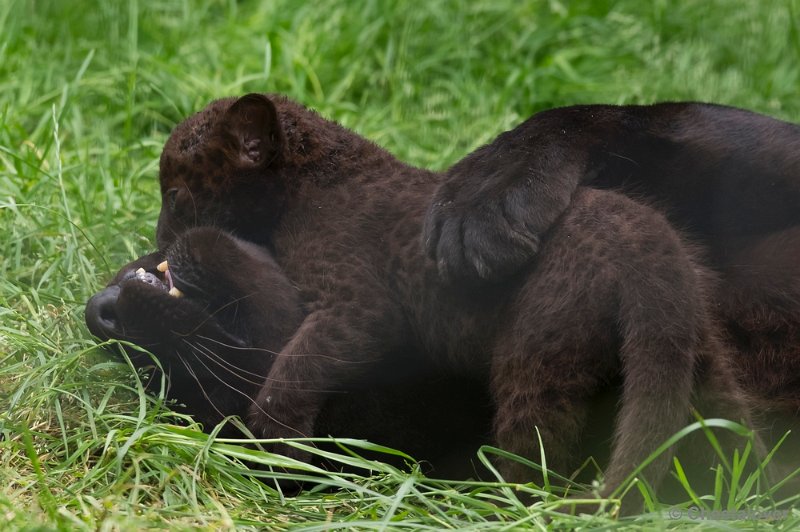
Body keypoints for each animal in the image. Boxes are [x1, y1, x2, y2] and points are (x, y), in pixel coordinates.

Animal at [84, 94, 760, 512]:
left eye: (176, 191)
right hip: (690, 355)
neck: (307, 182)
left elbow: (294, 367)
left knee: (533, 454)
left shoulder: (355, 306)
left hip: (535, 356)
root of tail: (647, 243)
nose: (157, 236)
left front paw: (277, 438)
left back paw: (483, 505)